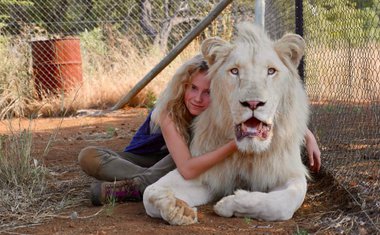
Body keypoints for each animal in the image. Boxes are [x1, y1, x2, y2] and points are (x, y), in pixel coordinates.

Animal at [144, 22, 310, 226]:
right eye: (235, 71)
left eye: (271, 71)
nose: (253, 103)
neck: (248, 153)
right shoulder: (204, 172)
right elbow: (150, 192)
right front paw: (177, 209)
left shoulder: (288, 172)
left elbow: (283, 202)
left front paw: (230, 203)